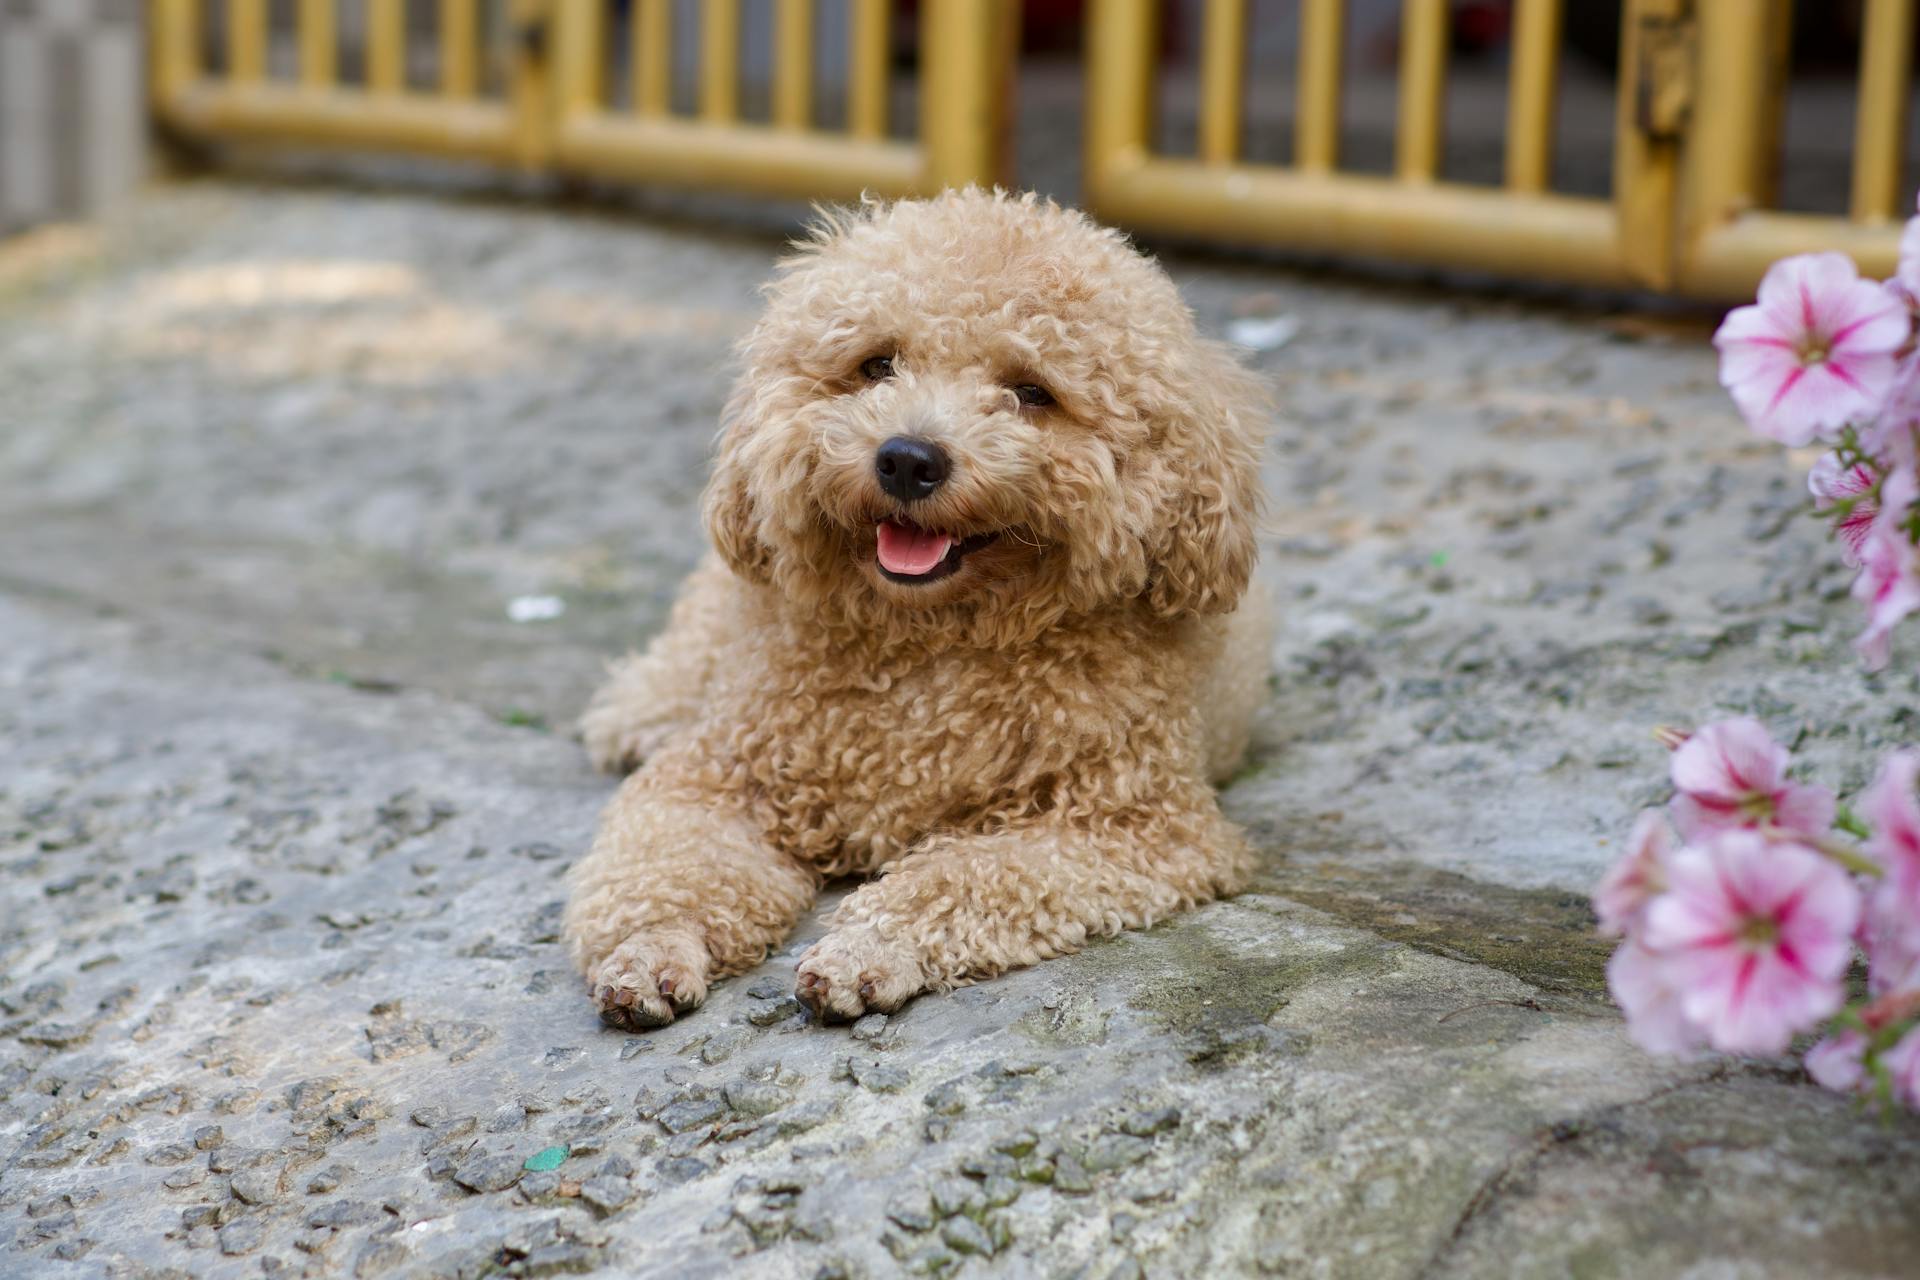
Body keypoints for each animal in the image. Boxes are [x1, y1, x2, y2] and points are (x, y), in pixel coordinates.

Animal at [560, 188, 1267, 1028]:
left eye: (1033, 392)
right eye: (877, 364)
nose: (906, 458)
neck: (929, 641)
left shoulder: (1136, 827)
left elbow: (966, 875)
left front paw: (870, 947)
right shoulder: (718, 775)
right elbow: (672, 862)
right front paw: (652, 946)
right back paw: (643, 713)